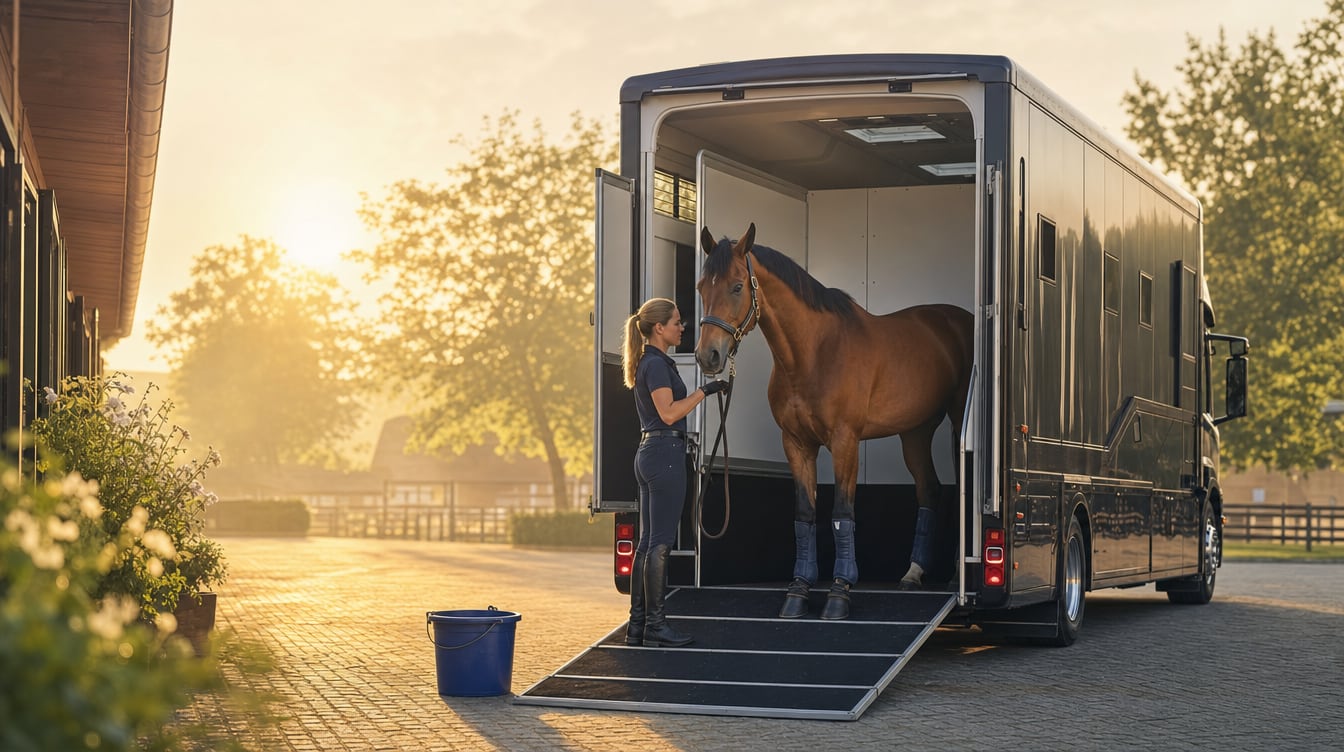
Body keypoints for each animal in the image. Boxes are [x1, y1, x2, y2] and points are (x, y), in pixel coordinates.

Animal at [694, 223, 974, 620]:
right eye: (702, 287)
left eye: (736, 286)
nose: (708, 356)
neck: (813, 353)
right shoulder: (796, 443)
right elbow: (805, 513)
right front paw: (797, 591)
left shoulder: (845, 441)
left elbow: (842, 512)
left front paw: (839, 593)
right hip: (914, 432)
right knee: (929, 489)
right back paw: (912, 574)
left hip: (954, 419)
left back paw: (951, 576)